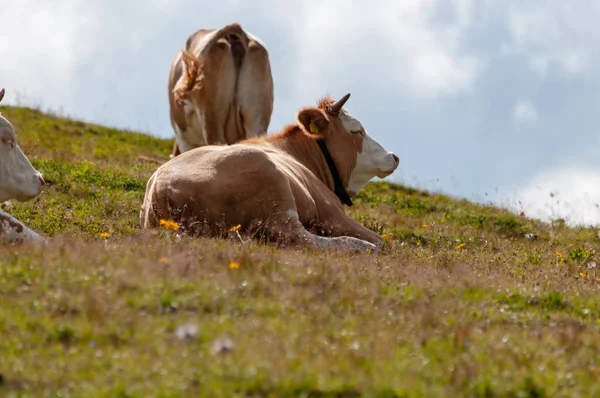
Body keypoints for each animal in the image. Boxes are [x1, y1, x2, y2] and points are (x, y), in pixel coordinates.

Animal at [140, 93, 398, 252]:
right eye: (357, 131)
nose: (393, 156)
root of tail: (160, 185)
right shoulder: (332, 213)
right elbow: (384, 239)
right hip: (275, 194)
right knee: (299, 237)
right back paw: (360, 247)